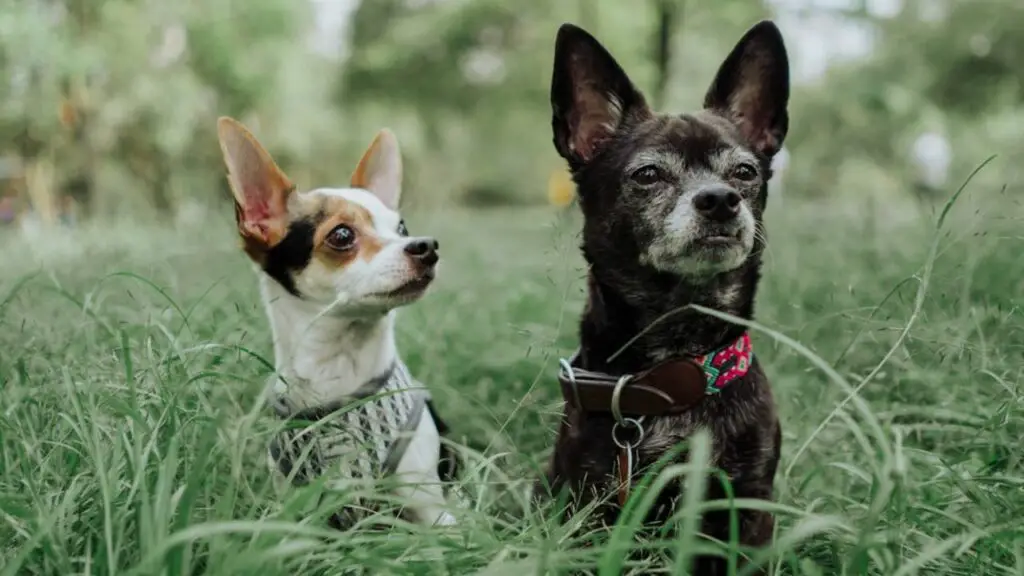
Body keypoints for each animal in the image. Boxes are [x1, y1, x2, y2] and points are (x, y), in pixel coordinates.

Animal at [220, 118, 460, 528]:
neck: (336, 369)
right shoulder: (296, 514)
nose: (426, 246)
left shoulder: (431, 511)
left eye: (401, 228)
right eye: (342, 235)